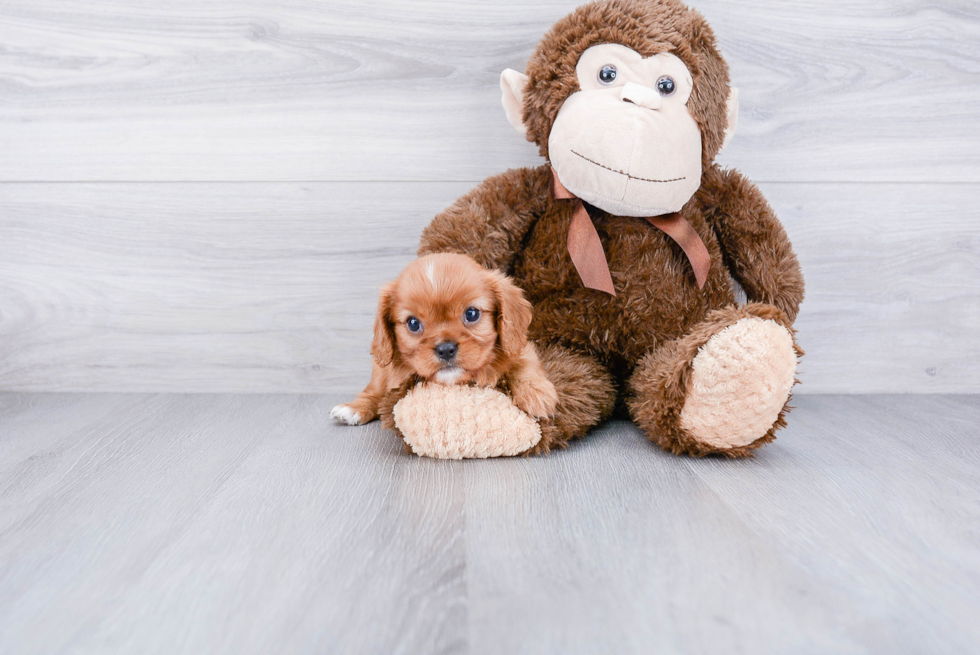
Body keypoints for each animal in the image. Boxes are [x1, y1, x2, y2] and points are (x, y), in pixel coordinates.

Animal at [332, 254, 556, 428]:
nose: (445, 349)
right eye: (413, 323)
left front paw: (537, 396)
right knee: (374, 391)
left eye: (472, 313)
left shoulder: (520, 348)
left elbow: (523, 366)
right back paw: (353, 409)